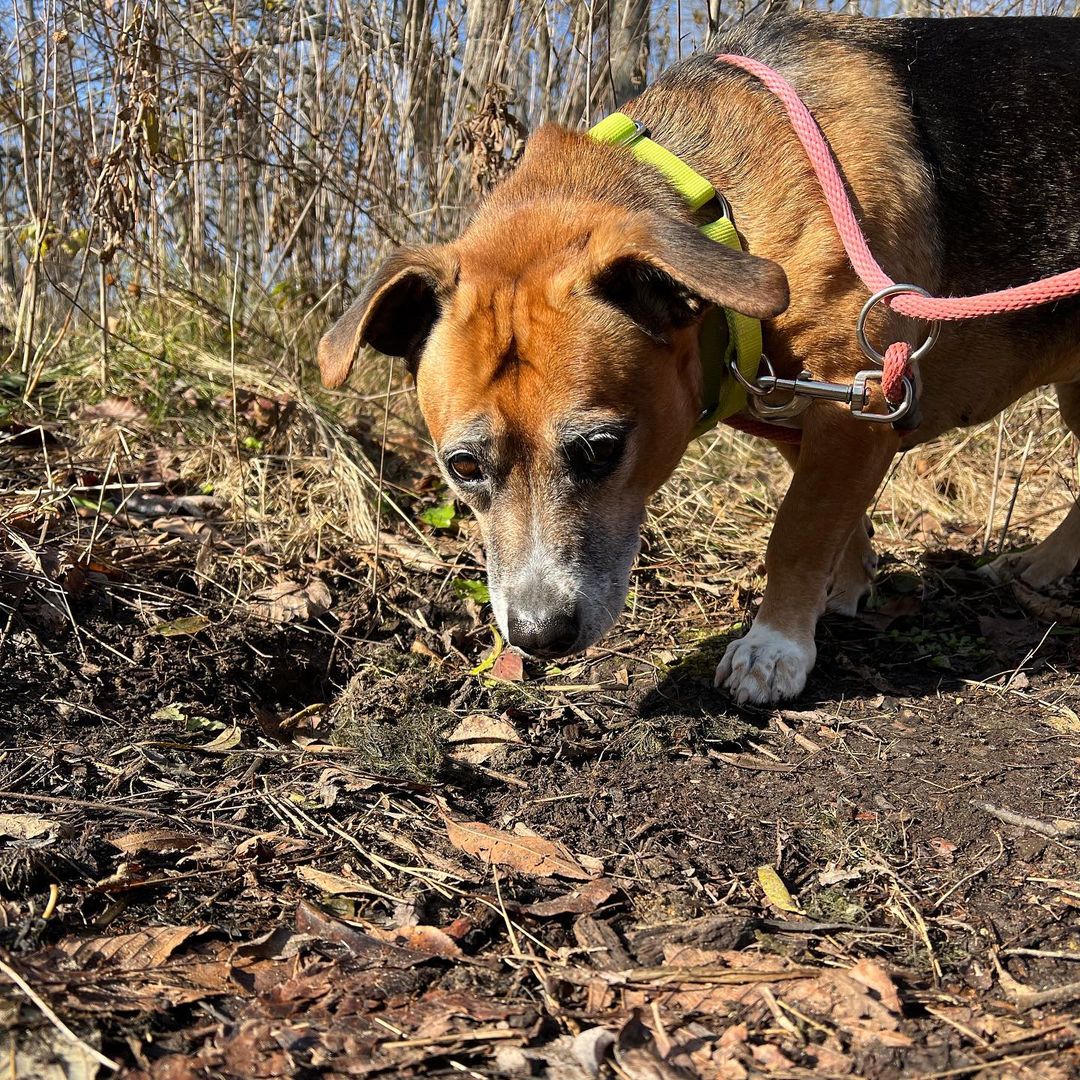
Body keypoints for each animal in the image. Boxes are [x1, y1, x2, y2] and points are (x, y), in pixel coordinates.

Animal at [317, 14, 1080, 708]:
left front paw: (776, 645)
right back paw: (1041, 565)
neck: (721, 209)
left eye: (600, 450)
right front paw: (850, 580)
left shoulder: (853, 400)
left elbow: (799, 529)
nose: (537, 636)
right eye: (464, 467)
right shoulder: (827, 411)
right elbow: (838, 515)